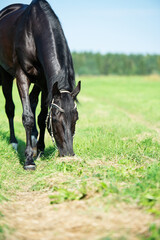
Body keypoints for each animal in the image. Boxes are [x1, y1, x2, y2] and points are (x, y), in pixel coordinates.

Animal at [0, 0, 80, 170]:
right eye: (55, 119)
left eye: (76, 118)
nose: (68, 154)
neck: (32, 33)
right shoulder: (22, 76)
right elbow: (28, 117)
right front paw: (29, 159)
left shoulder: (45, 83)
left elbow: (42, 116)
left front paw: (41, 149)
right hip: (6, 75)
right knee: (10, 107)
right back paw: (13, 142)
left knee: (32, 101)